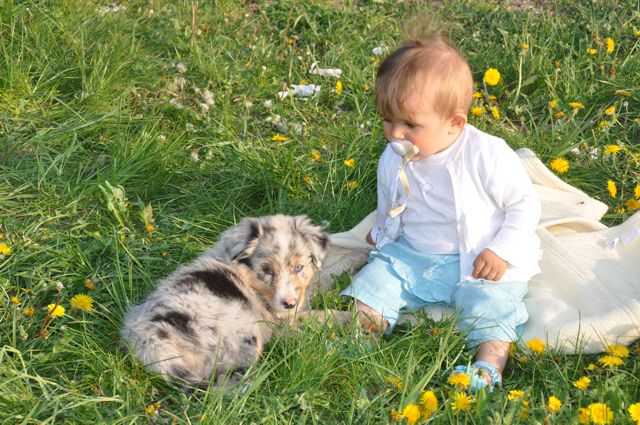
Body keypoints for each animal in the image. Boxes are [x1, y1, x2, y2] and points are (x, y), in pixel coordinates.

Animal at [120, 214, 330, 386]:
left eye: (299, 267)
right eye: (267, 270)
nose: (289, 303)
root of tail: (152, 343)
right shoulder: (278, 320)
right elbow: (317, 317)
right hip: (242, 334)